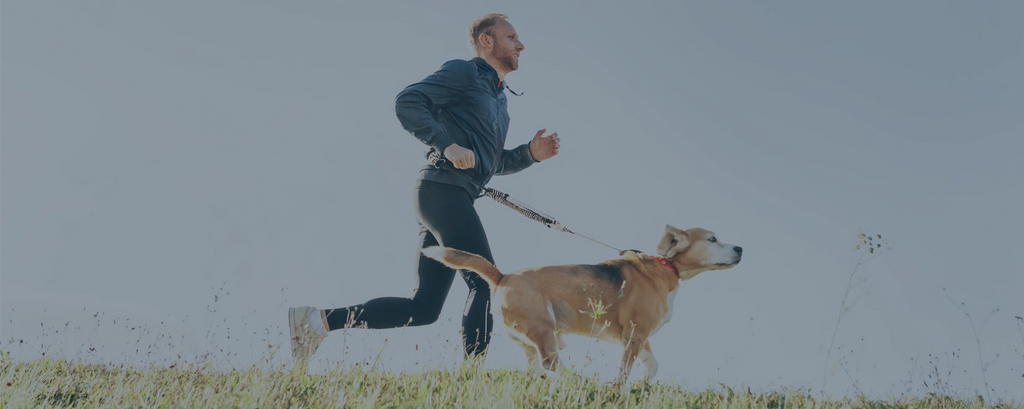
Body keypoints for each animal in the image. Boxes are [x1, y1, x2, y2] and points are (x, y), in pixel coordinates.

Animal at [419, 225, 741, 383]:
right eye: (712, 239)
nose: (740, 247)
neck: (665, 266)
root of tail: (502, 276)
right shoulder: (635, 334)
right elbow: (624, 370)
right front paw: (620, 389)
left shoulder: (638, 337)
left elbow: (653, 365)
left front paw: (643, 385)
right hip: (544, 327)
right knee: (550, 363)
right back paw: (581, 380)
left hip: (531, 337)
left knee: (537, 367)